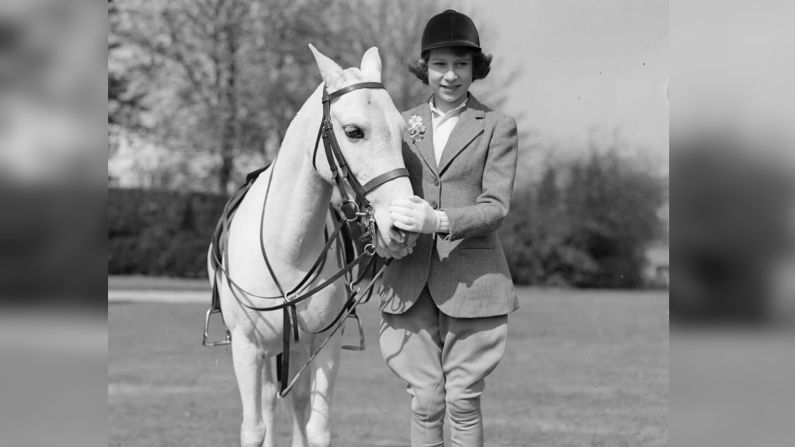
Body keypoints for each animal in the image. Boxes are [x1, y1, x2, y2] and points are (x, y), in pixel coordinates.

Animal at [205, 46, 416, 447]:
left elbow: (316, 428)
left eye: (402, 133)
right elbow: (254, 427)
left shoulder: (324, 347)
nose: (401, 226)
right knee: (269, 402)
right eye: (354, 131)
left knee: (296, 403)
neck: (288, 250)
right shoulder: (246, 348)